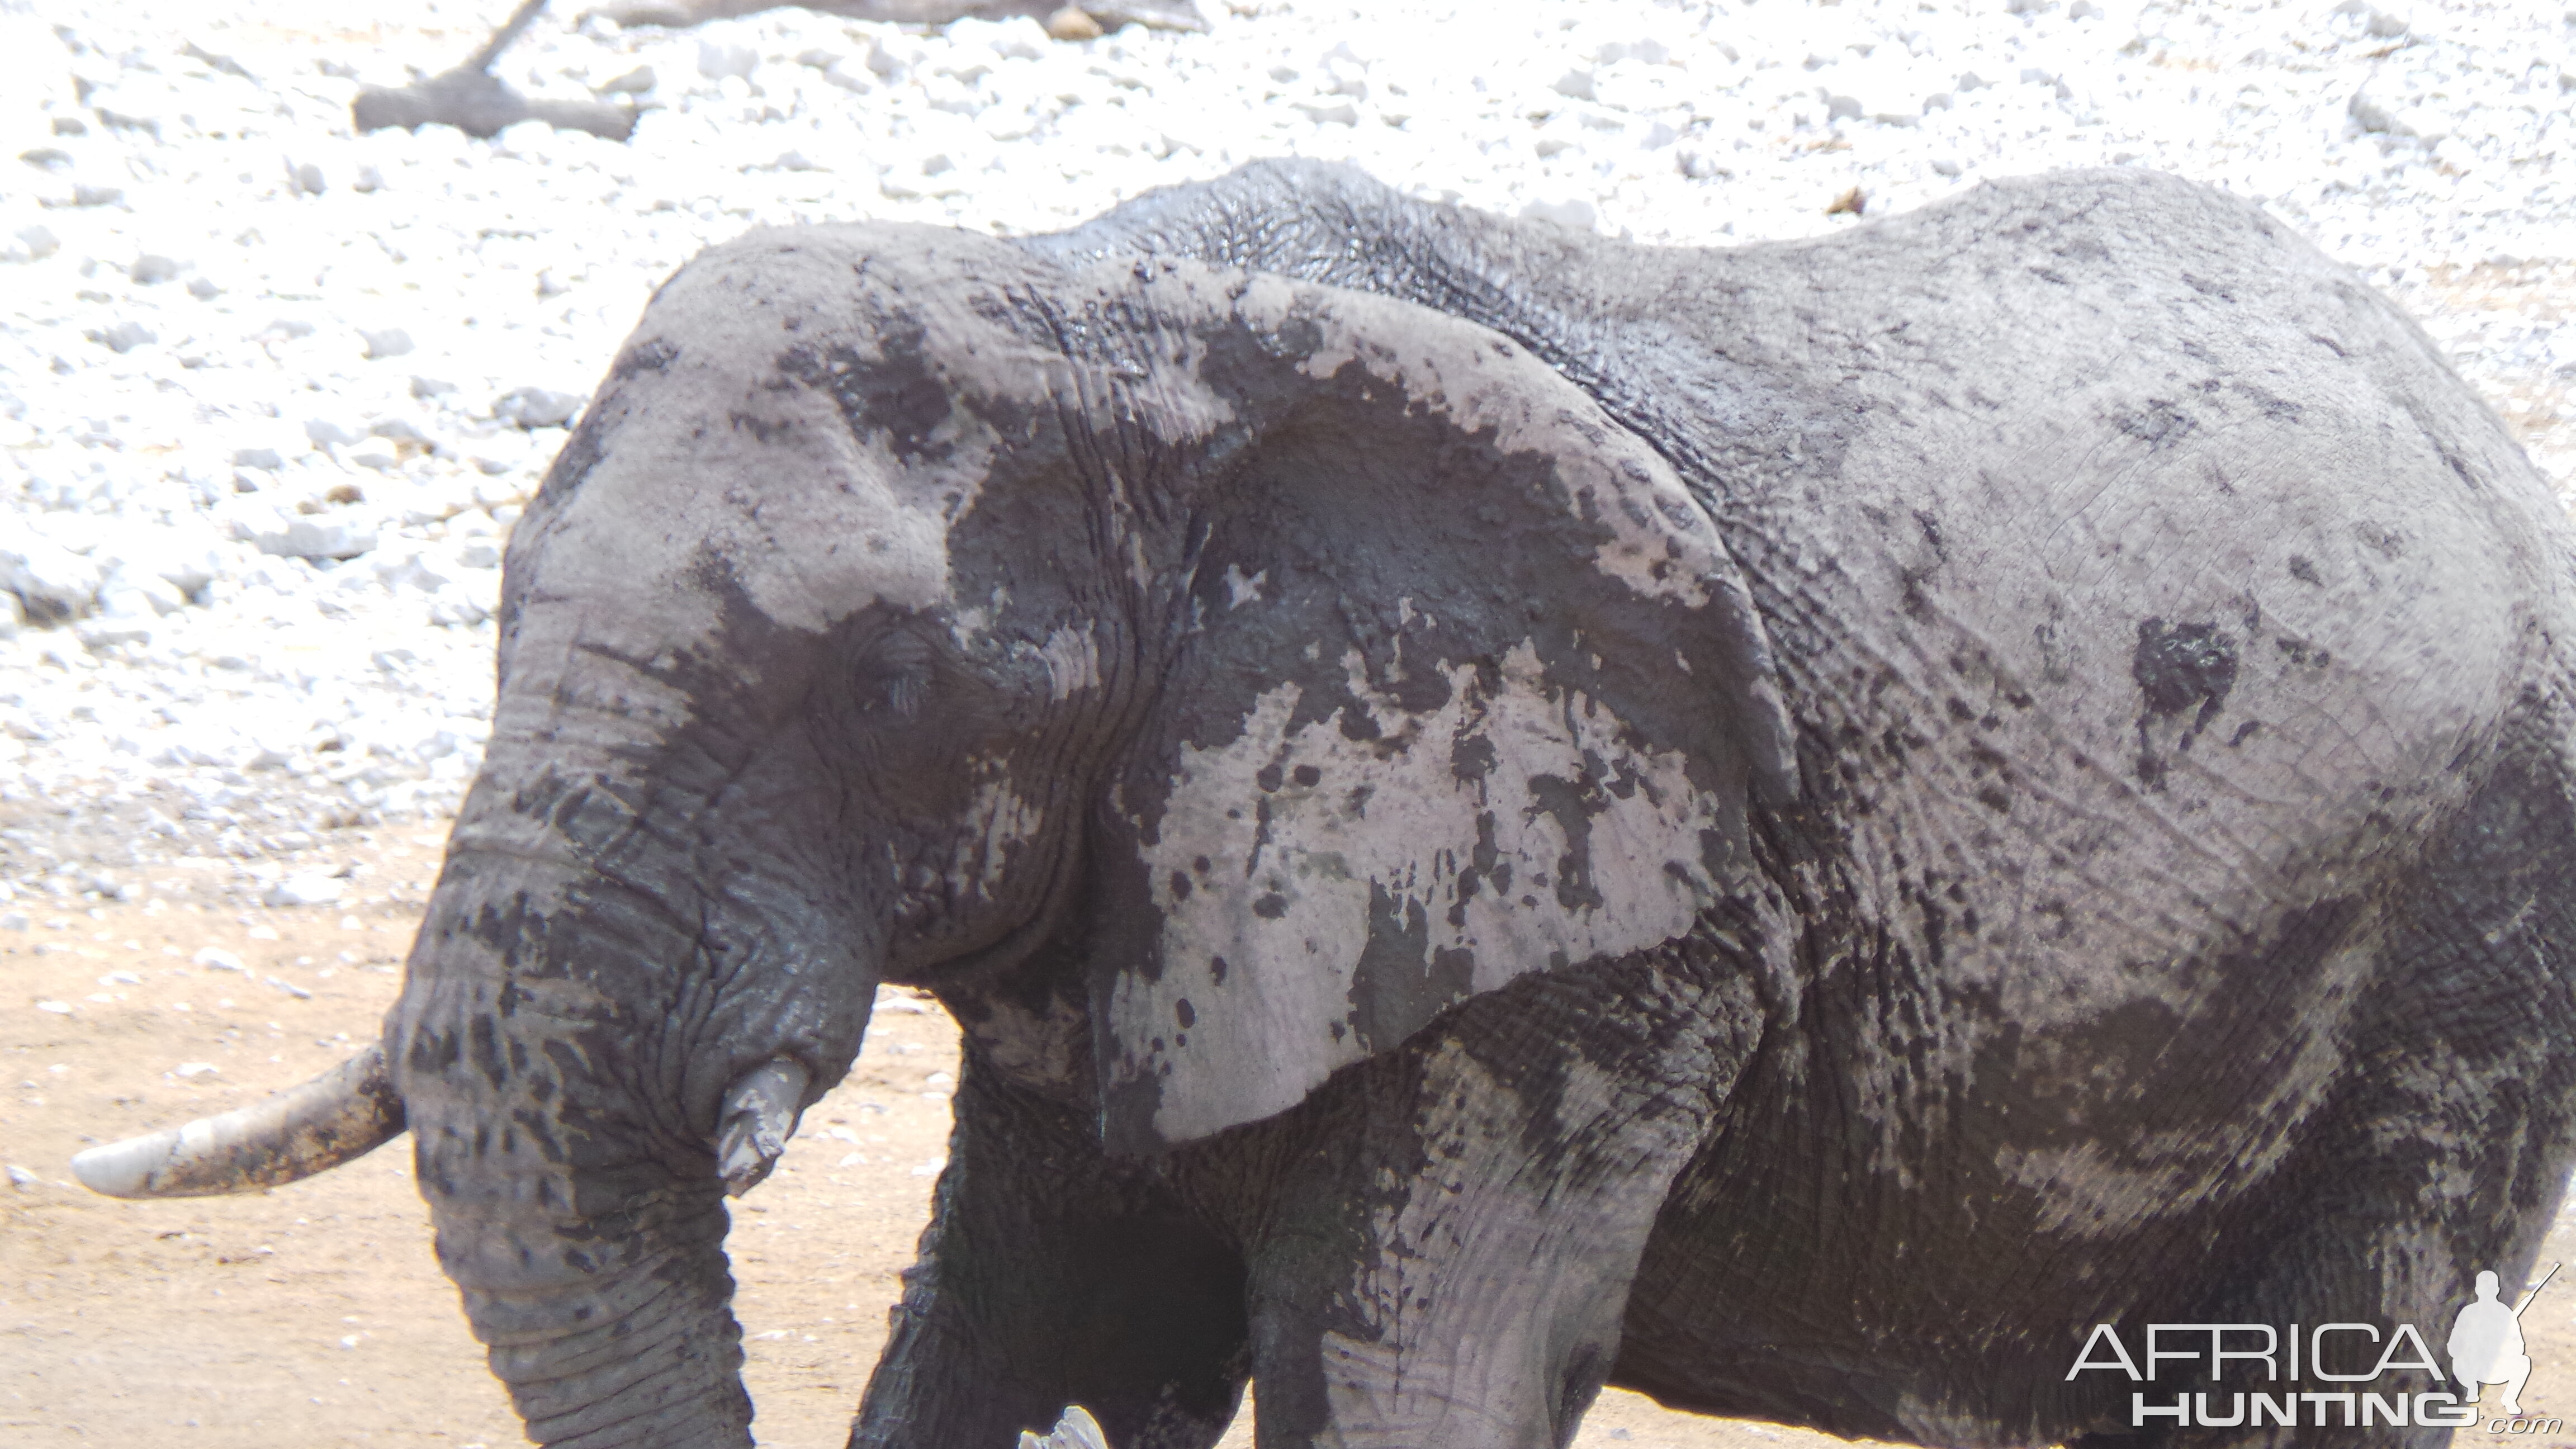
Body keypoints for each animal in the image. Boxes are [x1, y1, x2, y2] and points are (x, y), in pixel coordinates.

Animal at [70, 160, 2576, 1443]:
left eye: (884, 678)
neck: (1099, 308)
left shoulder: (1610, 923)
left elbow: (1407, 1365)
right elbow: (1032, 1341)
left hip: (2473, 921)